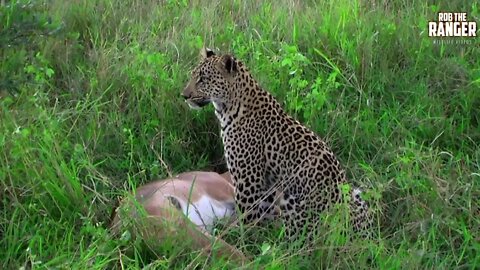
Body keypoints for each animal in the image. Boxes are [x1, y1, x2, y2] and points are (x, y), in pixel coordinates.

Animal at [182, 47, 374, 242]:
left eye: (203, 79)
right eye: (193, 76)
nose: (184, 96)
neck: (228, 108)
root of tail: (363, 236)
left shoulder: (248, 184)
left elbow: (246, 218)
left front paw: (241, 239)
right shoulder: (266, 185)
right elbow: (263, 214)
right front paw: (262, 235)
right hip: (356, 195)